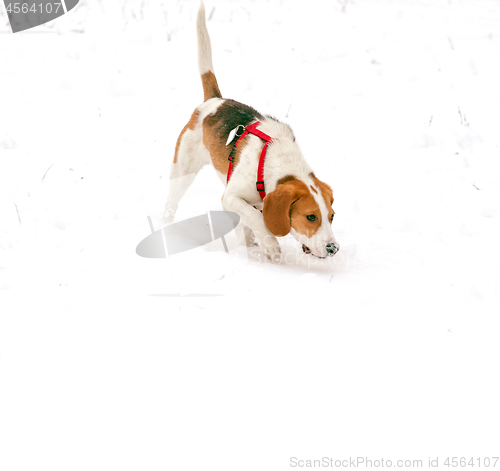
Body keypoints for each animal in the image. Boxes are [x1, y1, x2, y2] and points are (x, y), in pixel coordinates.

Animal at [164, 1, 340, 262]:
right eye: (311, 217)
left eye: (331, 216)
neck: (276, 163)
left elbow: (252, 221)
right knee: (171, 203)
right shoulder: (231, 198)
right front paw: (271, 245)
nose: (333, 248)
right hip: (183, 169)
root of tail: (216, 101)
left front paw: (258, 248)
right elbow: (258, 219)